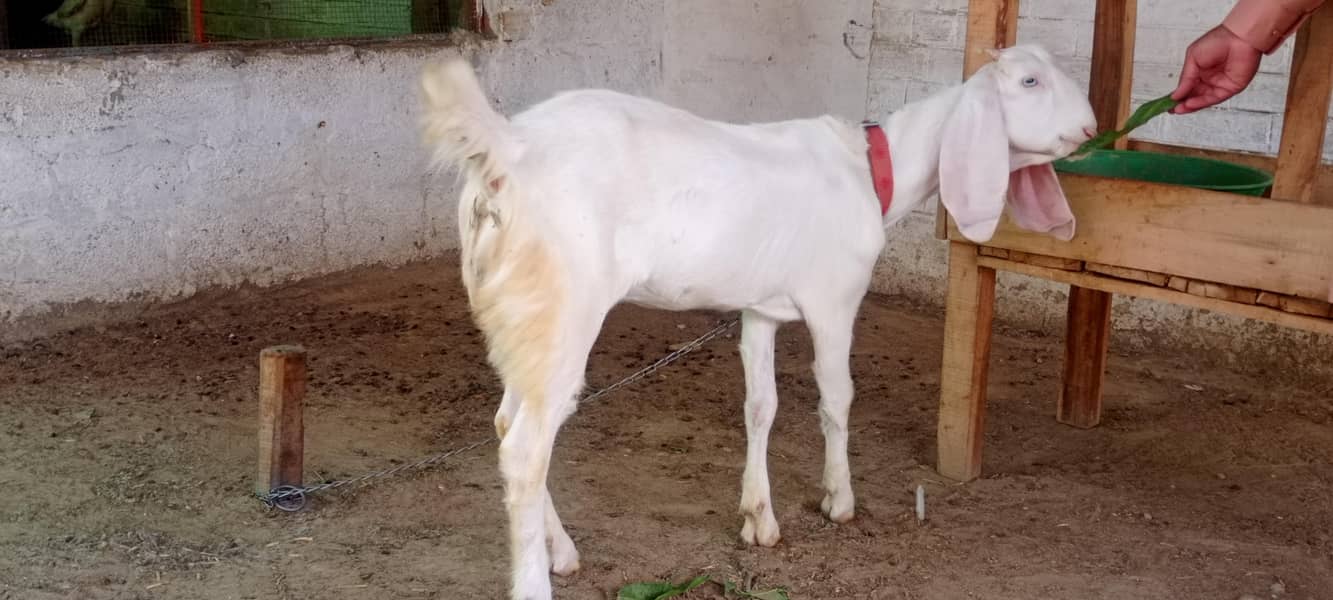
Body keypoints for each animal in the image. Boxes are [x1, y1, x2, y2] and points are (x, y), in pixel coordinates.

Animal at [419, 44, 1097, 600]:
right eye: (1031, 80)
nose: (1092, 128)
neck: (871, 170)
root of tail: (507, 149)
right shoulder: (834, 299)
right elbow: (837, 398)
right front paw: (838, 499)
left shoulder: (761, 309)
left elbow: (760, 406)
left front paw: (759, 517)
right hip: (563, 305)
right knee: (526, 447)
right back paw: (535, 579)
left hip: (525, 315)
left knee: (507, 423)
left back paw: (561, 550)